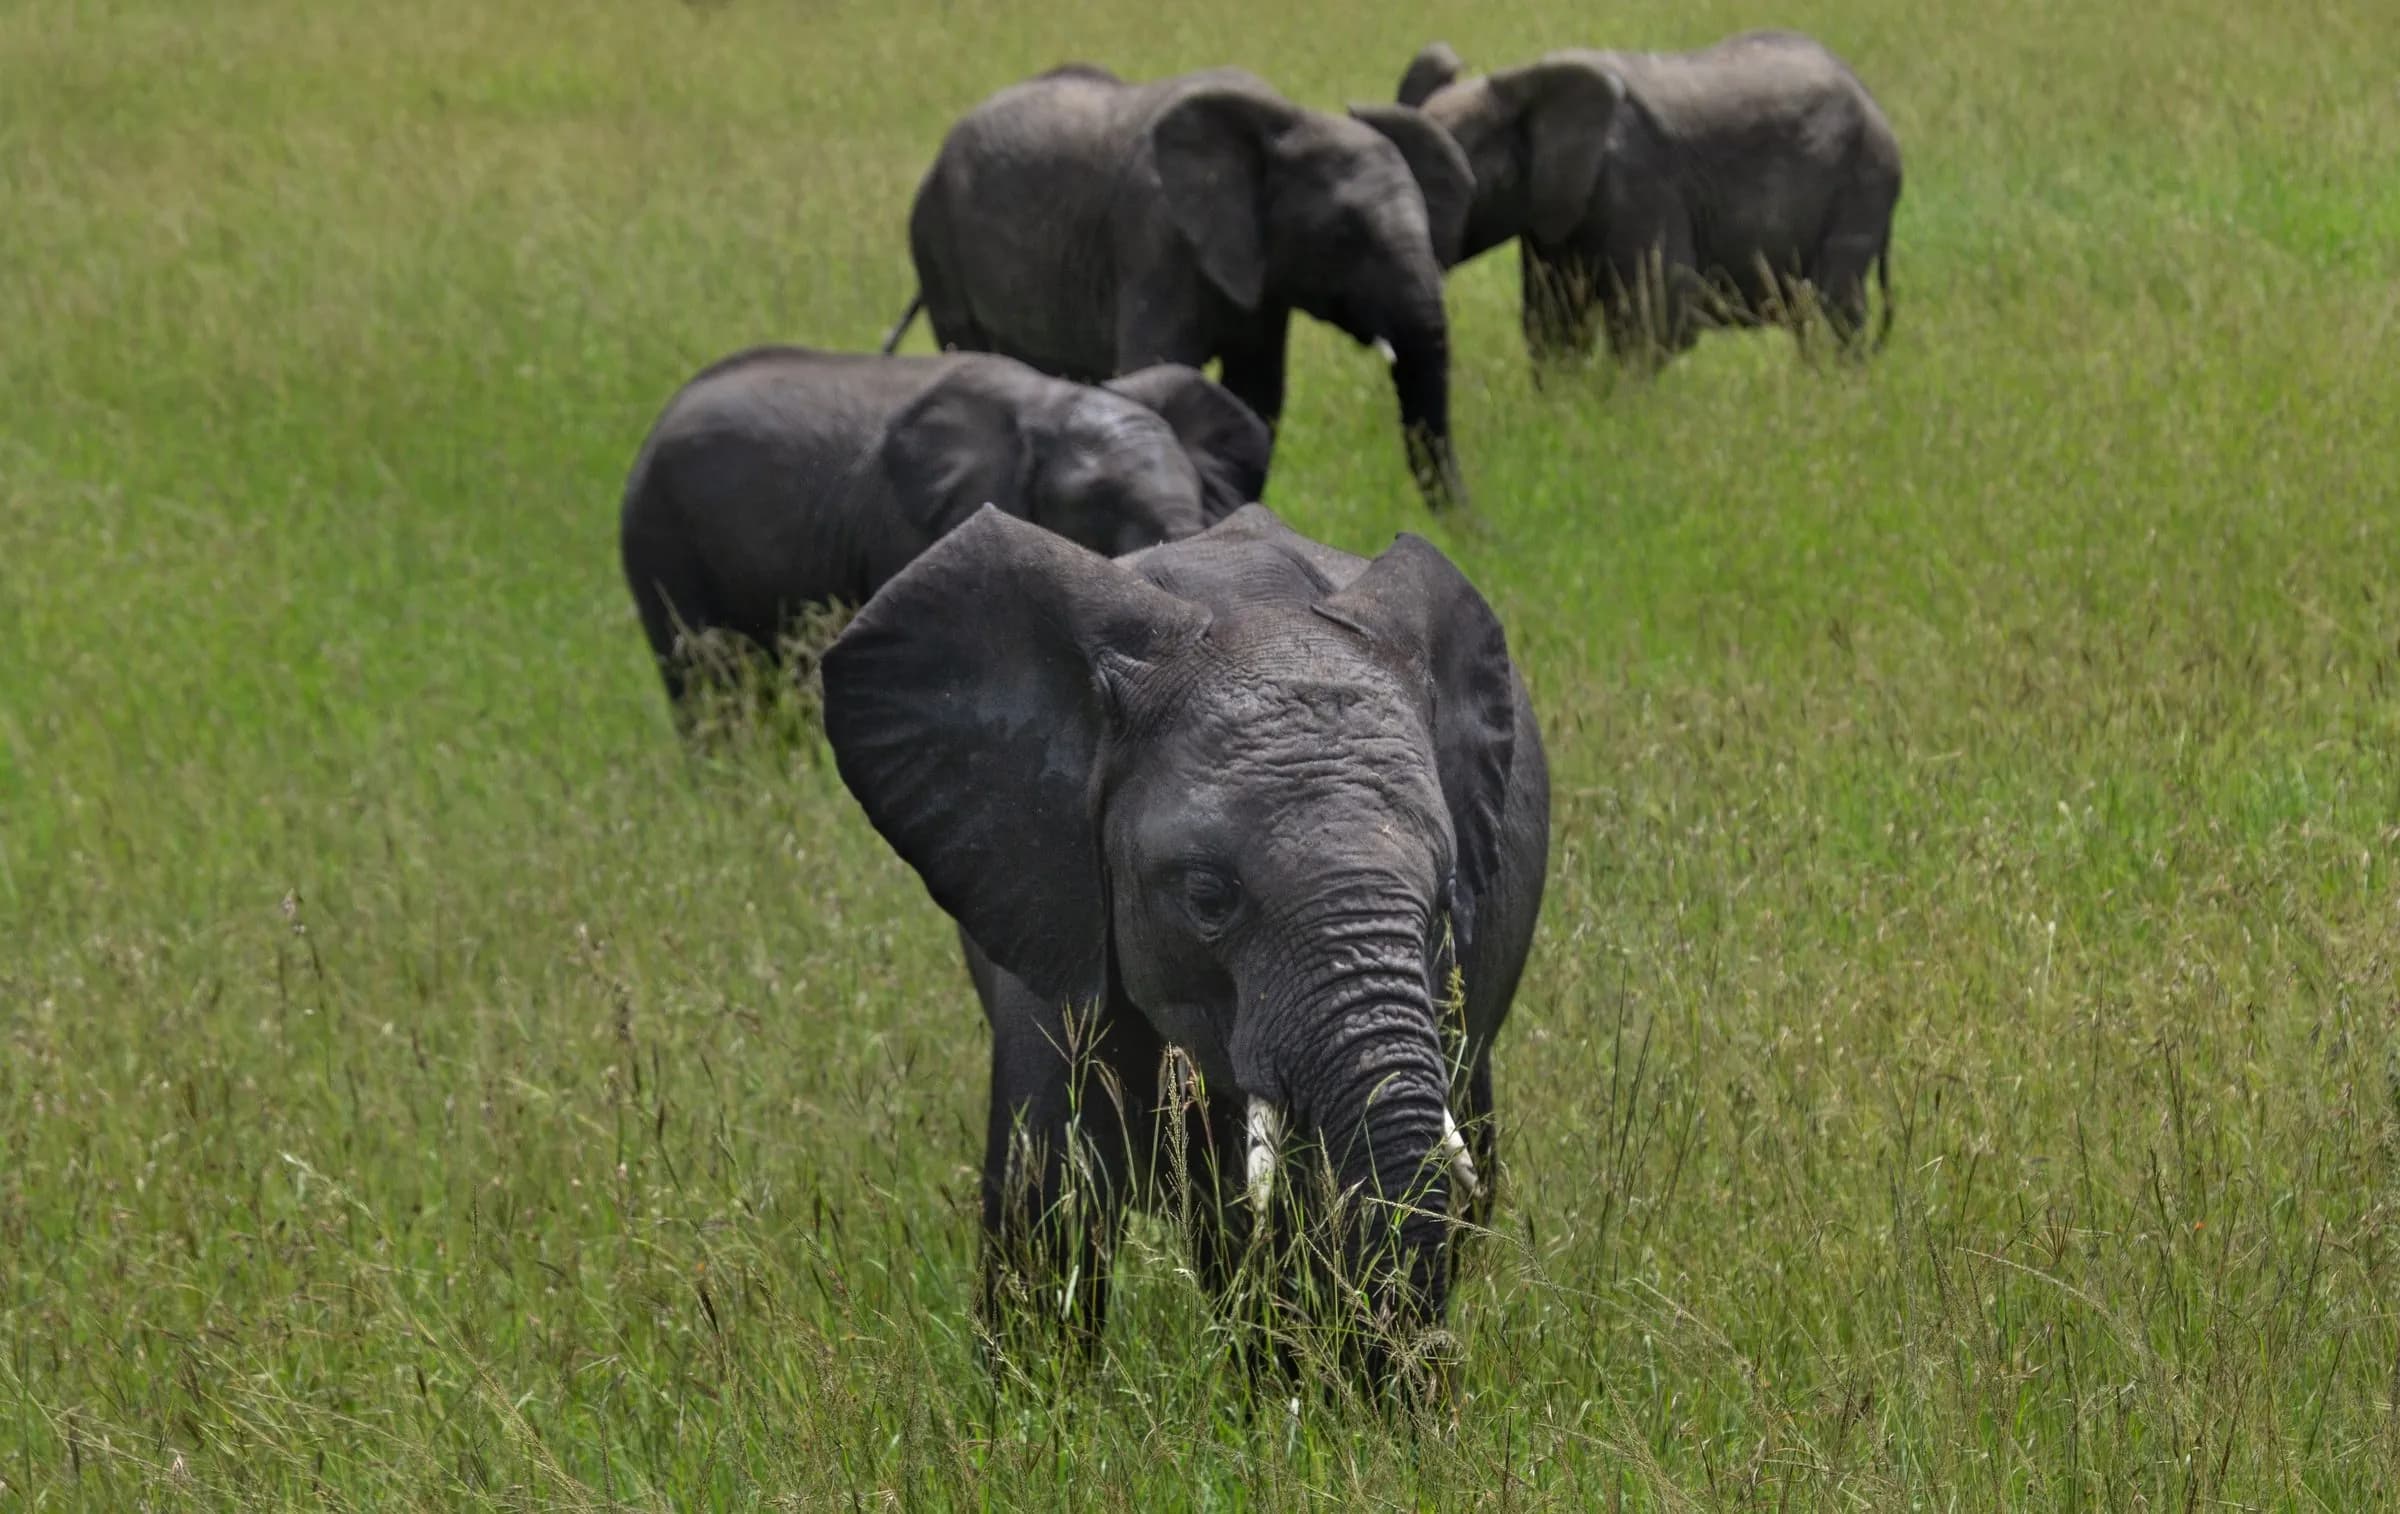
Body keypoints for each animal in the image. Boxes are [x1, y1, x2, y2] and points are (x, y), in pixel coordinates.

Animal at [618, 345, 1270, 715]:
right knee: (707, 683)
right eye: (1095, 505)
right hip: (661, 541)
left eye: (1196, 491)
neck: (1049, 404)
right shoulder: (910, 533)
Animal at [821, 503, 1550, 1393]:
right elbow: (1046, 1203)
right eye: (1208, 896)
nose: (1438, 1361)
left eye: (1446, 897)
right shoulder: (1056, 893)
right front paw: (1035, 1416)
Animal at [882, 64, 1476, 512]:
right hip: (935, 242)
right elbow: (1159, 369)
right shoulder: (1156, 240)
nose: (1475, 539)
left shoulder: (1261, 280)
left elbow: (1256, 395)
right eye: (1344, 236)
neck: (1285, 119)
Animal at [1395, 31, 1902, 364]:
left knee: (1834, 312)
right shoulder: (1551, 211)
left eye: (1462, 186)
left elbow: (1654, 321)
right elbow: (1554, 322)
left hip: (1861, 184)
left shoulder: (1637, 186)